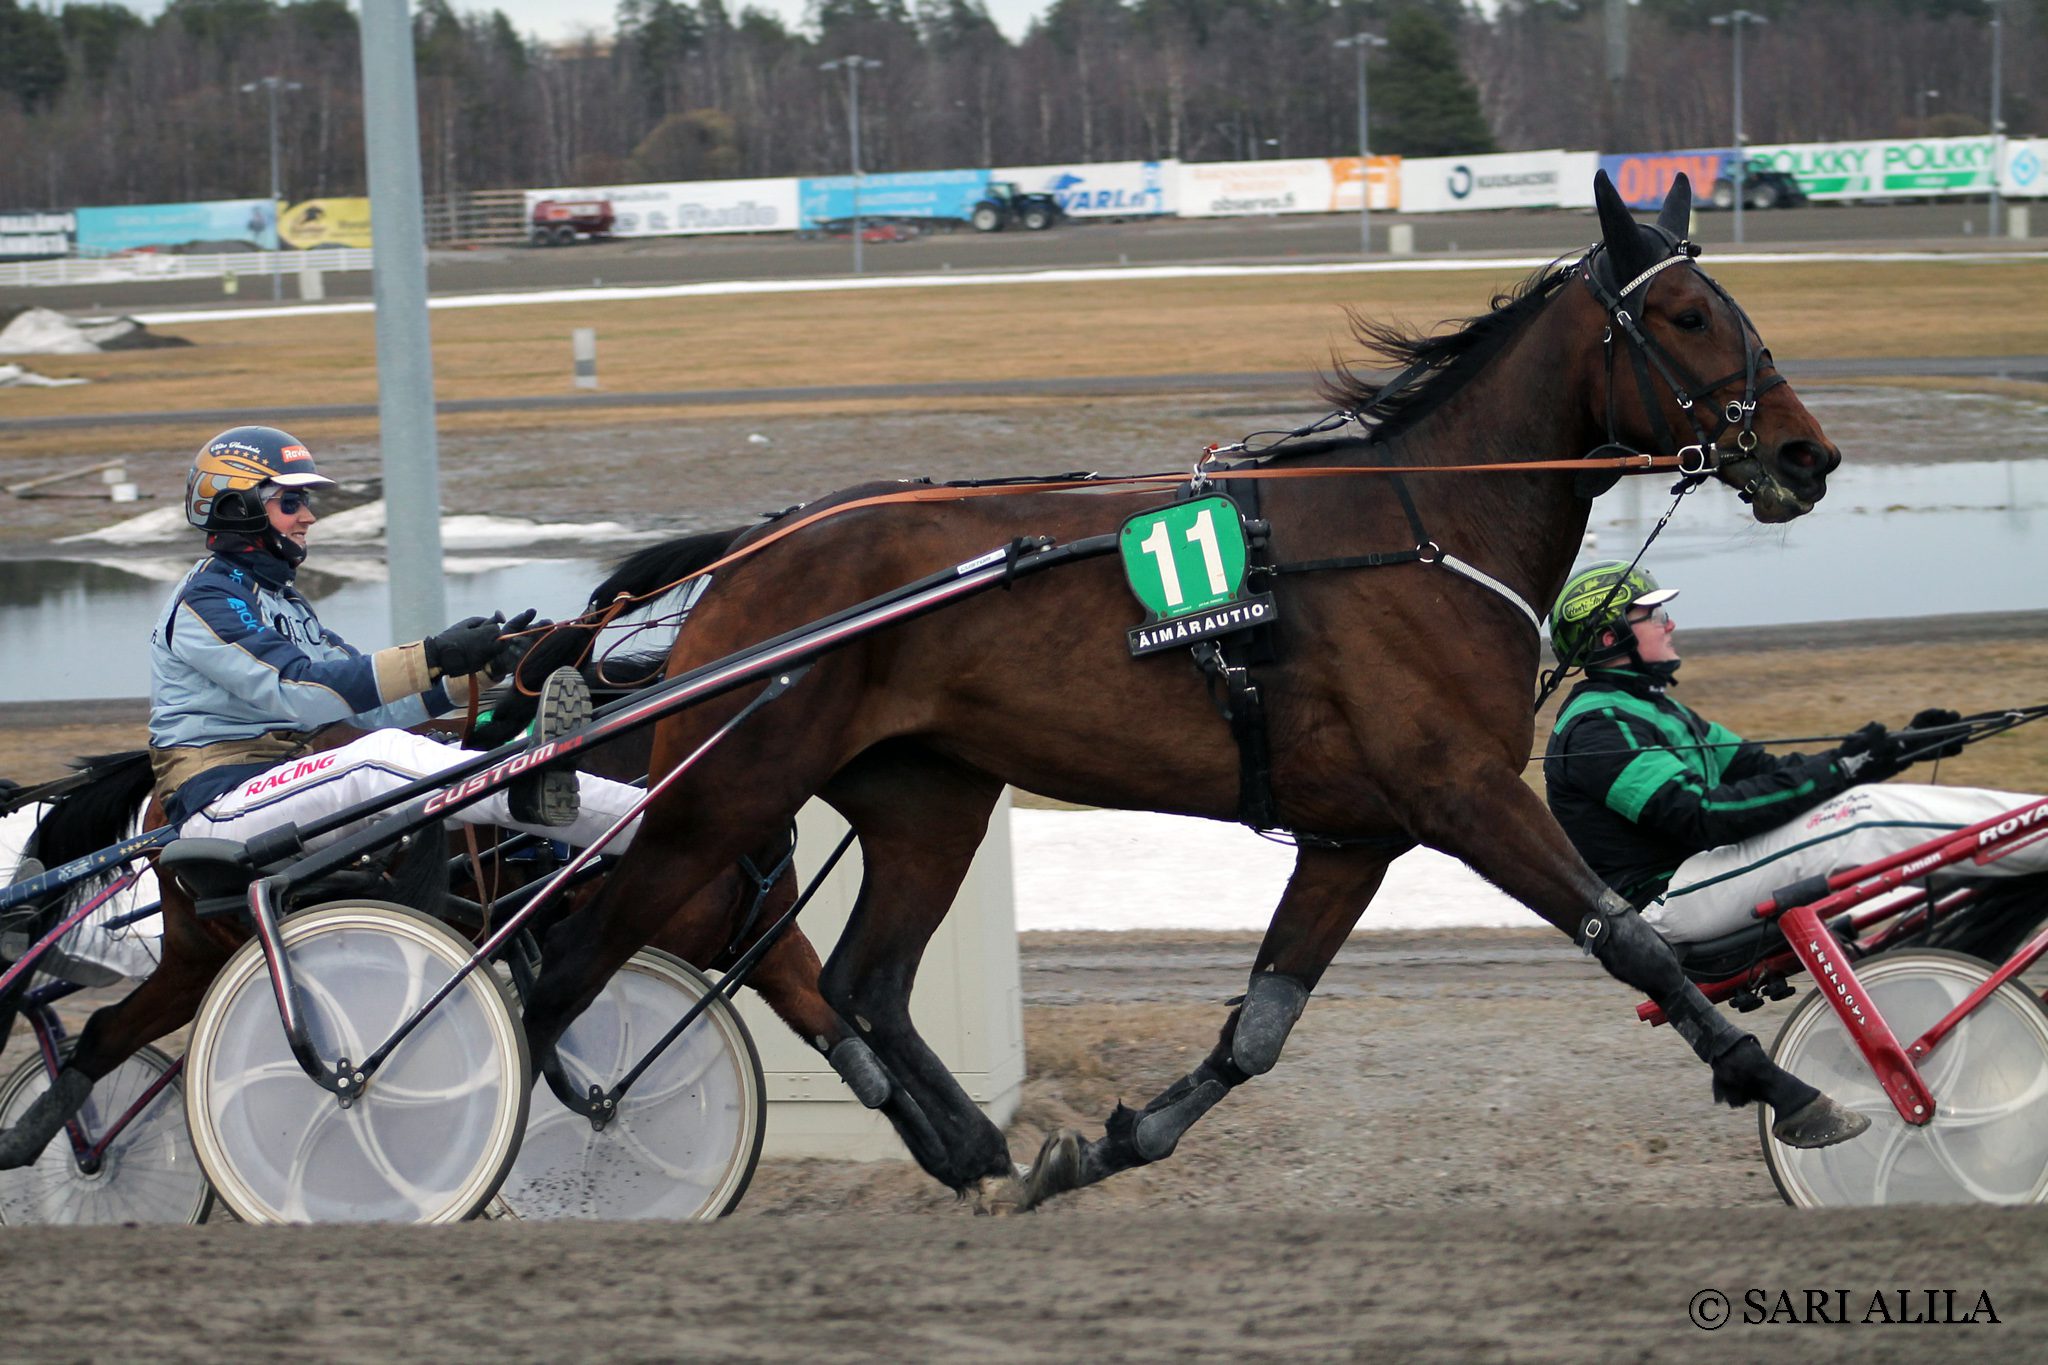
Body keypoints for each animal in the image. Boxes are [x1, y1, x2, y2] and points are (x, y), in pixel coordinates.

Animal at [513, 171, 1854, 1212]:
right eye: (1684, 313)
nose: (1807, 452)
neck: (1420, 527)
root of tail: (758, 544)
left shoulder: (1354, 835)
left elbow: (1259, 1027)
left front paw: (1110, 1144)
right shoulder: (1464, 795)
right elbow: (1629, 939)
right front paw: (1791, 1089)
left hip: (925, 800)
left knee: (860, 987)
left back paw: (976, 1155)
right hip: (724, 789)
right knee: (574, 958)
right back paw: (550, 1122)